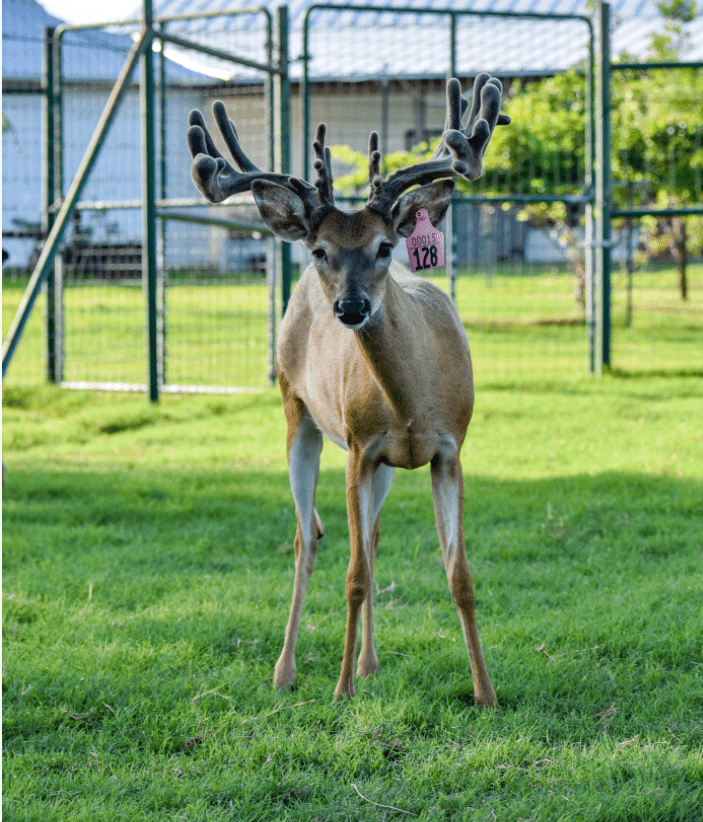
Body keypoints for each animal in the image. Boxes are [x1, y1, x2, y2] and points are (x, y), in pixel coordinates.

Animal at [187, 74, 510, 708]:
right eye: (320, 251)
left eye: (386, 246)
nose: (351, 307)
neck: (412, 404)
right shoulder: (359, 447)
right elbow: (354, 576)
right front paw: (339, 691)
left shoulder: (448, 449)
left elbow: (458, 573)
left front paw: (485, 691)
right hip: (299, 416)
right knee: (306, 537)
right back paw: (287, 670)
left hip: (383, 465)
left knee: (373, 537)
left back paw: (370, 663)